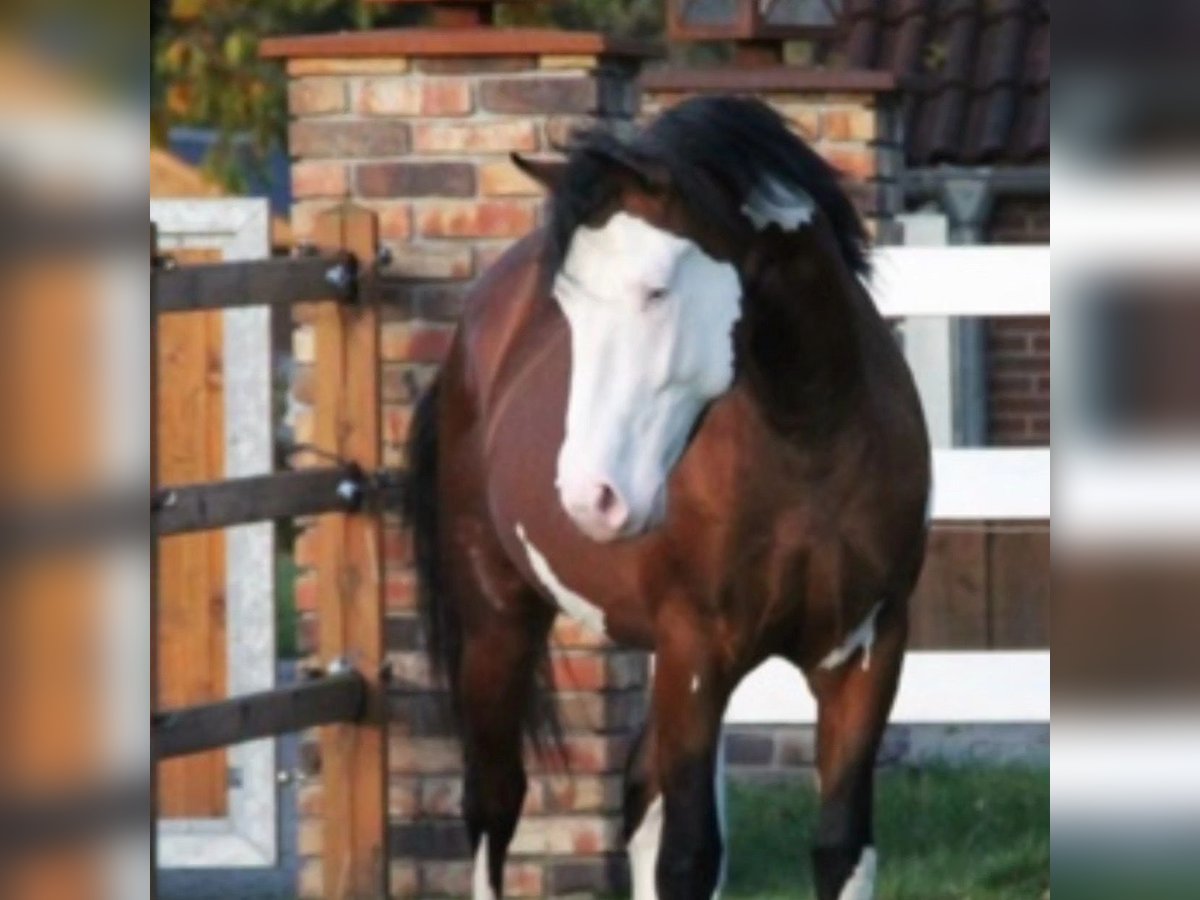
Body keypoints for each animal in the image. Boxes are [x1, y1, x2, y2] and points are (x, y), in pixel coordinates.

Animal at [406, 95, 930, 900]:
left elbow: (841, 846)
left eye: (656, 291)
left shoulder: (867, 652)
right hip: (497, 621)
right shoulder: (696, 652)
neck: (807, 449)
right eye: (565, 305)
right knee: (494, 803)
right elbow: (690, 854)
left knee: (635, 793)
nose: (589, 497)